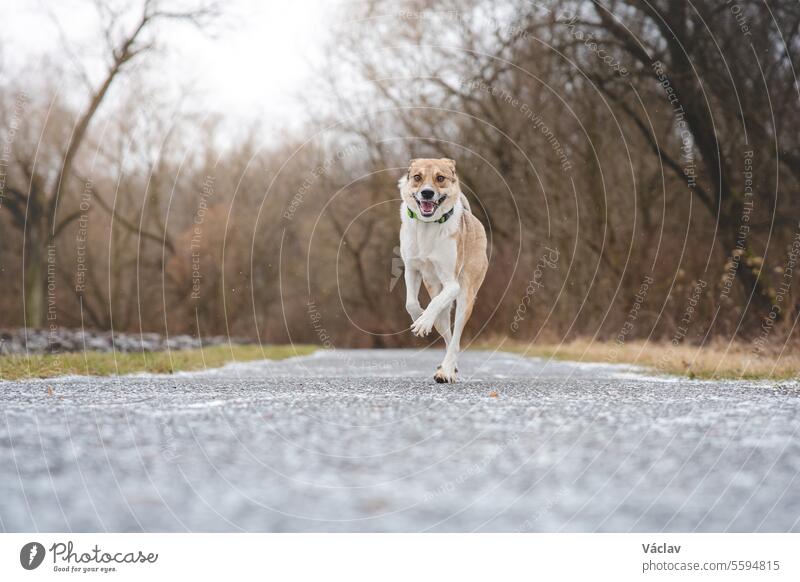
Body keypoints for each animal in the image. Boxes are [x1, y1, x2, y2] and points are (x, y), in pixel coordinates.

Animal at [398, 157, 488, 386]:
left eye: (440, 178)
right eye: (417, 177)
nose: (427, 193)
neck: (428, 226)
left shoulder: (452, 284)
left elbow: (435, 305)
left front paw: (422, 322)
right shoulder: (411, 269)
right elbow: (410, 303)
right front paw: (419, 318)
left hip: (466, 295)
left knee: (455, 338)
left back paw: (446, 371)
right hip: (437, 296)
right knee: (446, 333)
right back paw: (449, 368)